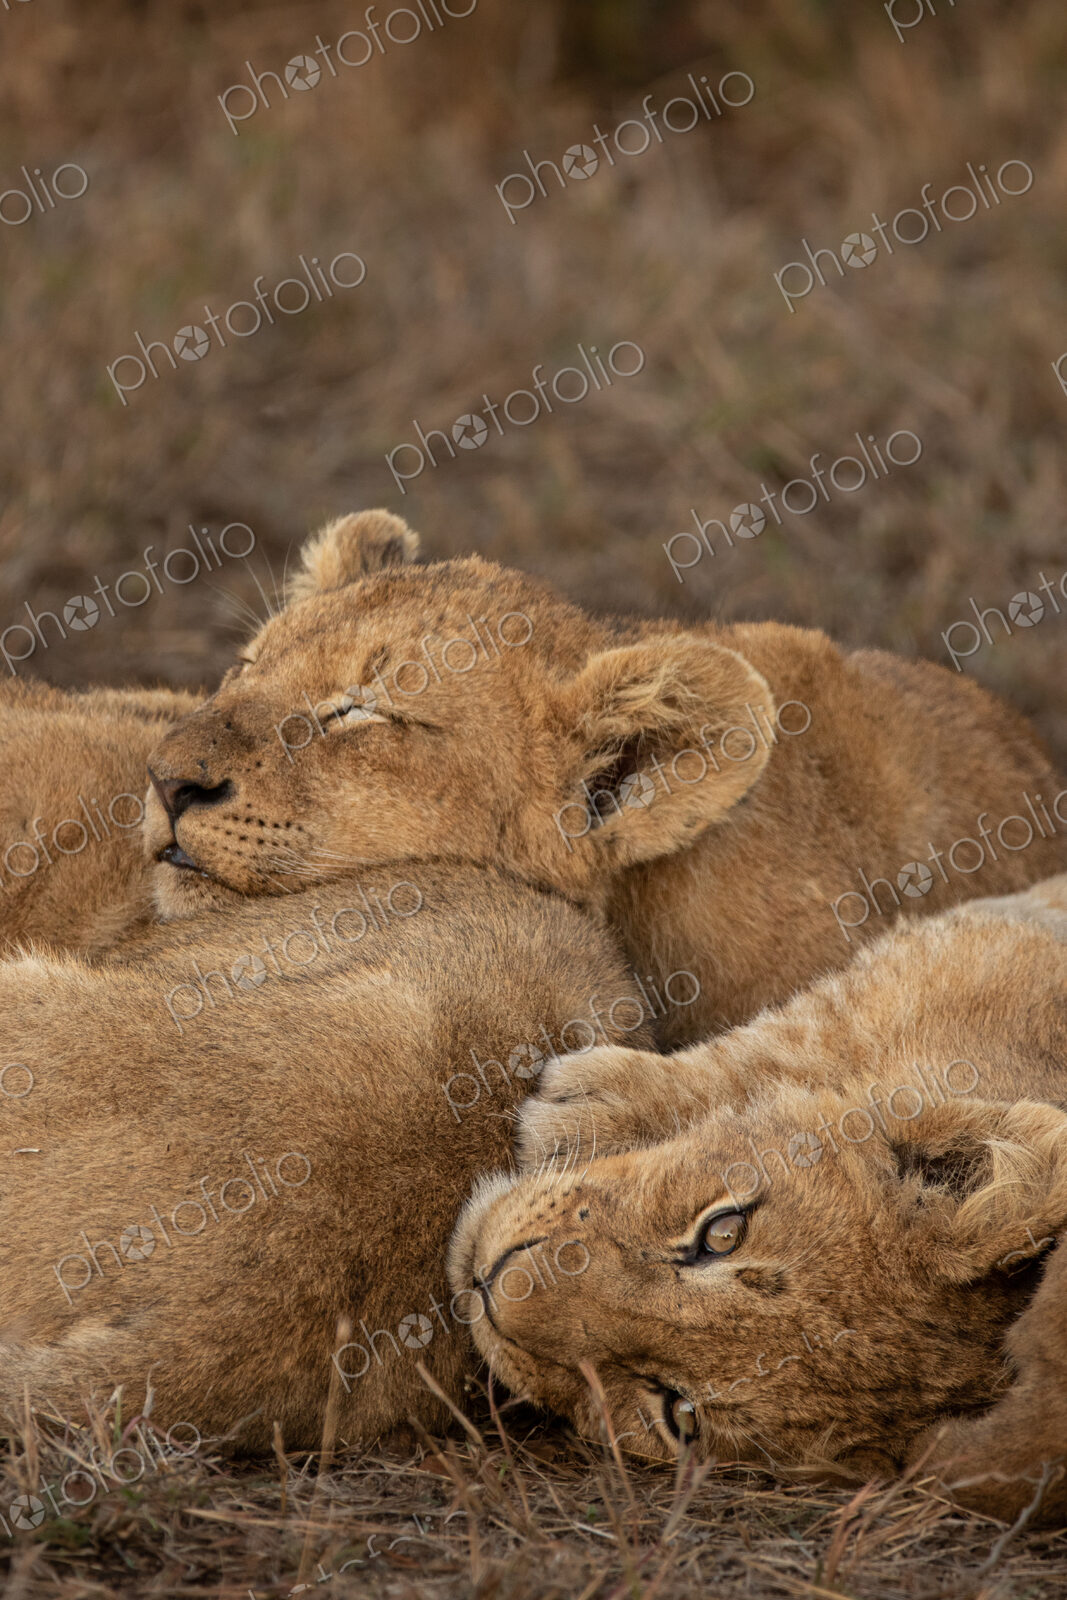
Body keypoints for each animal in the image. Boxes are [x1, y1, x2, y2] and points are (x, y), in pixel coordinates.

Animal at [448, 876, 1067, 1523]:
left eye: (679, 1414)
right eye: (723, 1233)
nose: (496, 1283)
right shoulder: (986, 944)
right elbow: (785, 1044)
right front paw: (586, 1104)